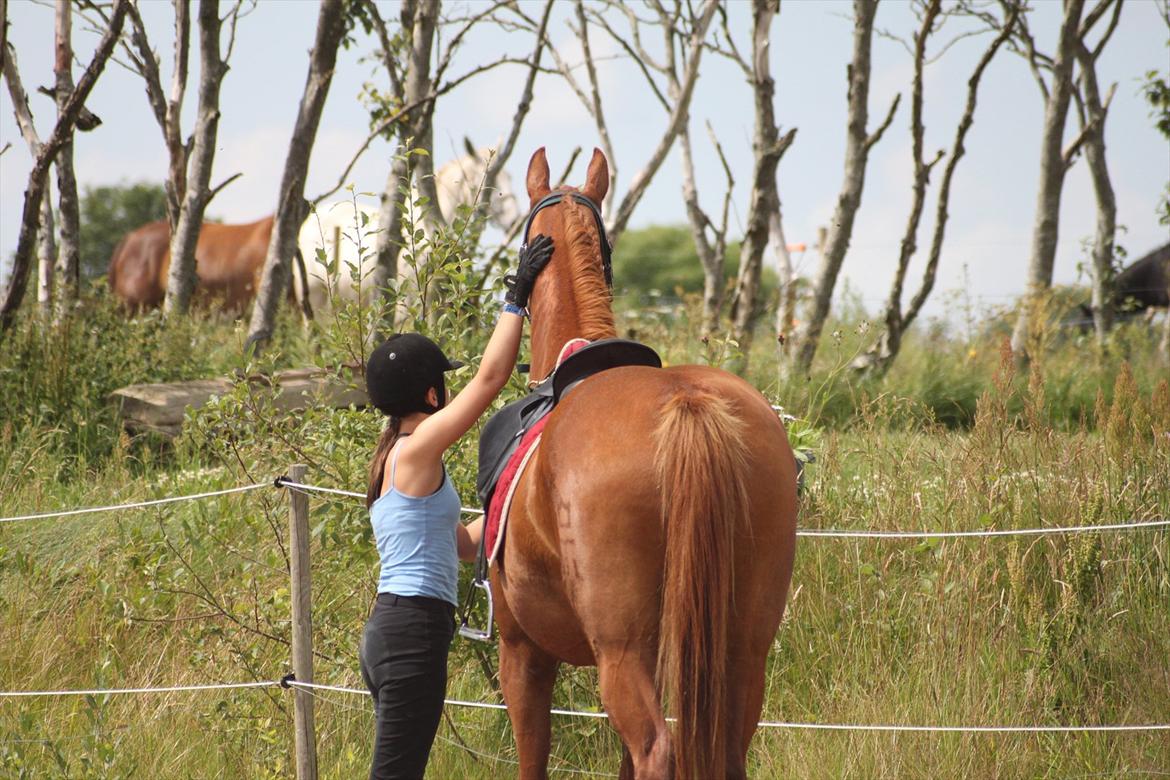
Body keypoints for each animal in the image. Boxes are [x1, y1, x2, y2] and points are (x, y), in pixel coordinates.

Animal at [489, 147, 800, 780]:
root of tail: (687, 402)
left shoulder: (523, 652)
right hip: (742, 648)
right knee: (725, 748)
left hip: (621, 650)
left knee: (657, 747)